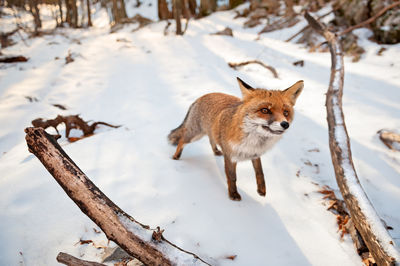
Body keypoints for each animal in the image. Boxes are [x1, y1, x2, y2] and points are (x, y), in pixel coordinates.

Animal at [168, 78, 304, 201]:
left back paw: (216, 151)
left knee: (211, 140)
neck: (253, 142)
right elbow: (232, 177)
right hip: (195, 134)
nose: (285, 124)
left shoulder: (255, 155)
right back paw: (176, 157)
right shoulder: (230, 156)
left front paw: (261, 189)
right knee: (182, 140)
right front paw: (233, 194)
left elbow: (260, 172)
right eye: (265, 110)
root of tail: (201, 96)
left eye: (285, 112)